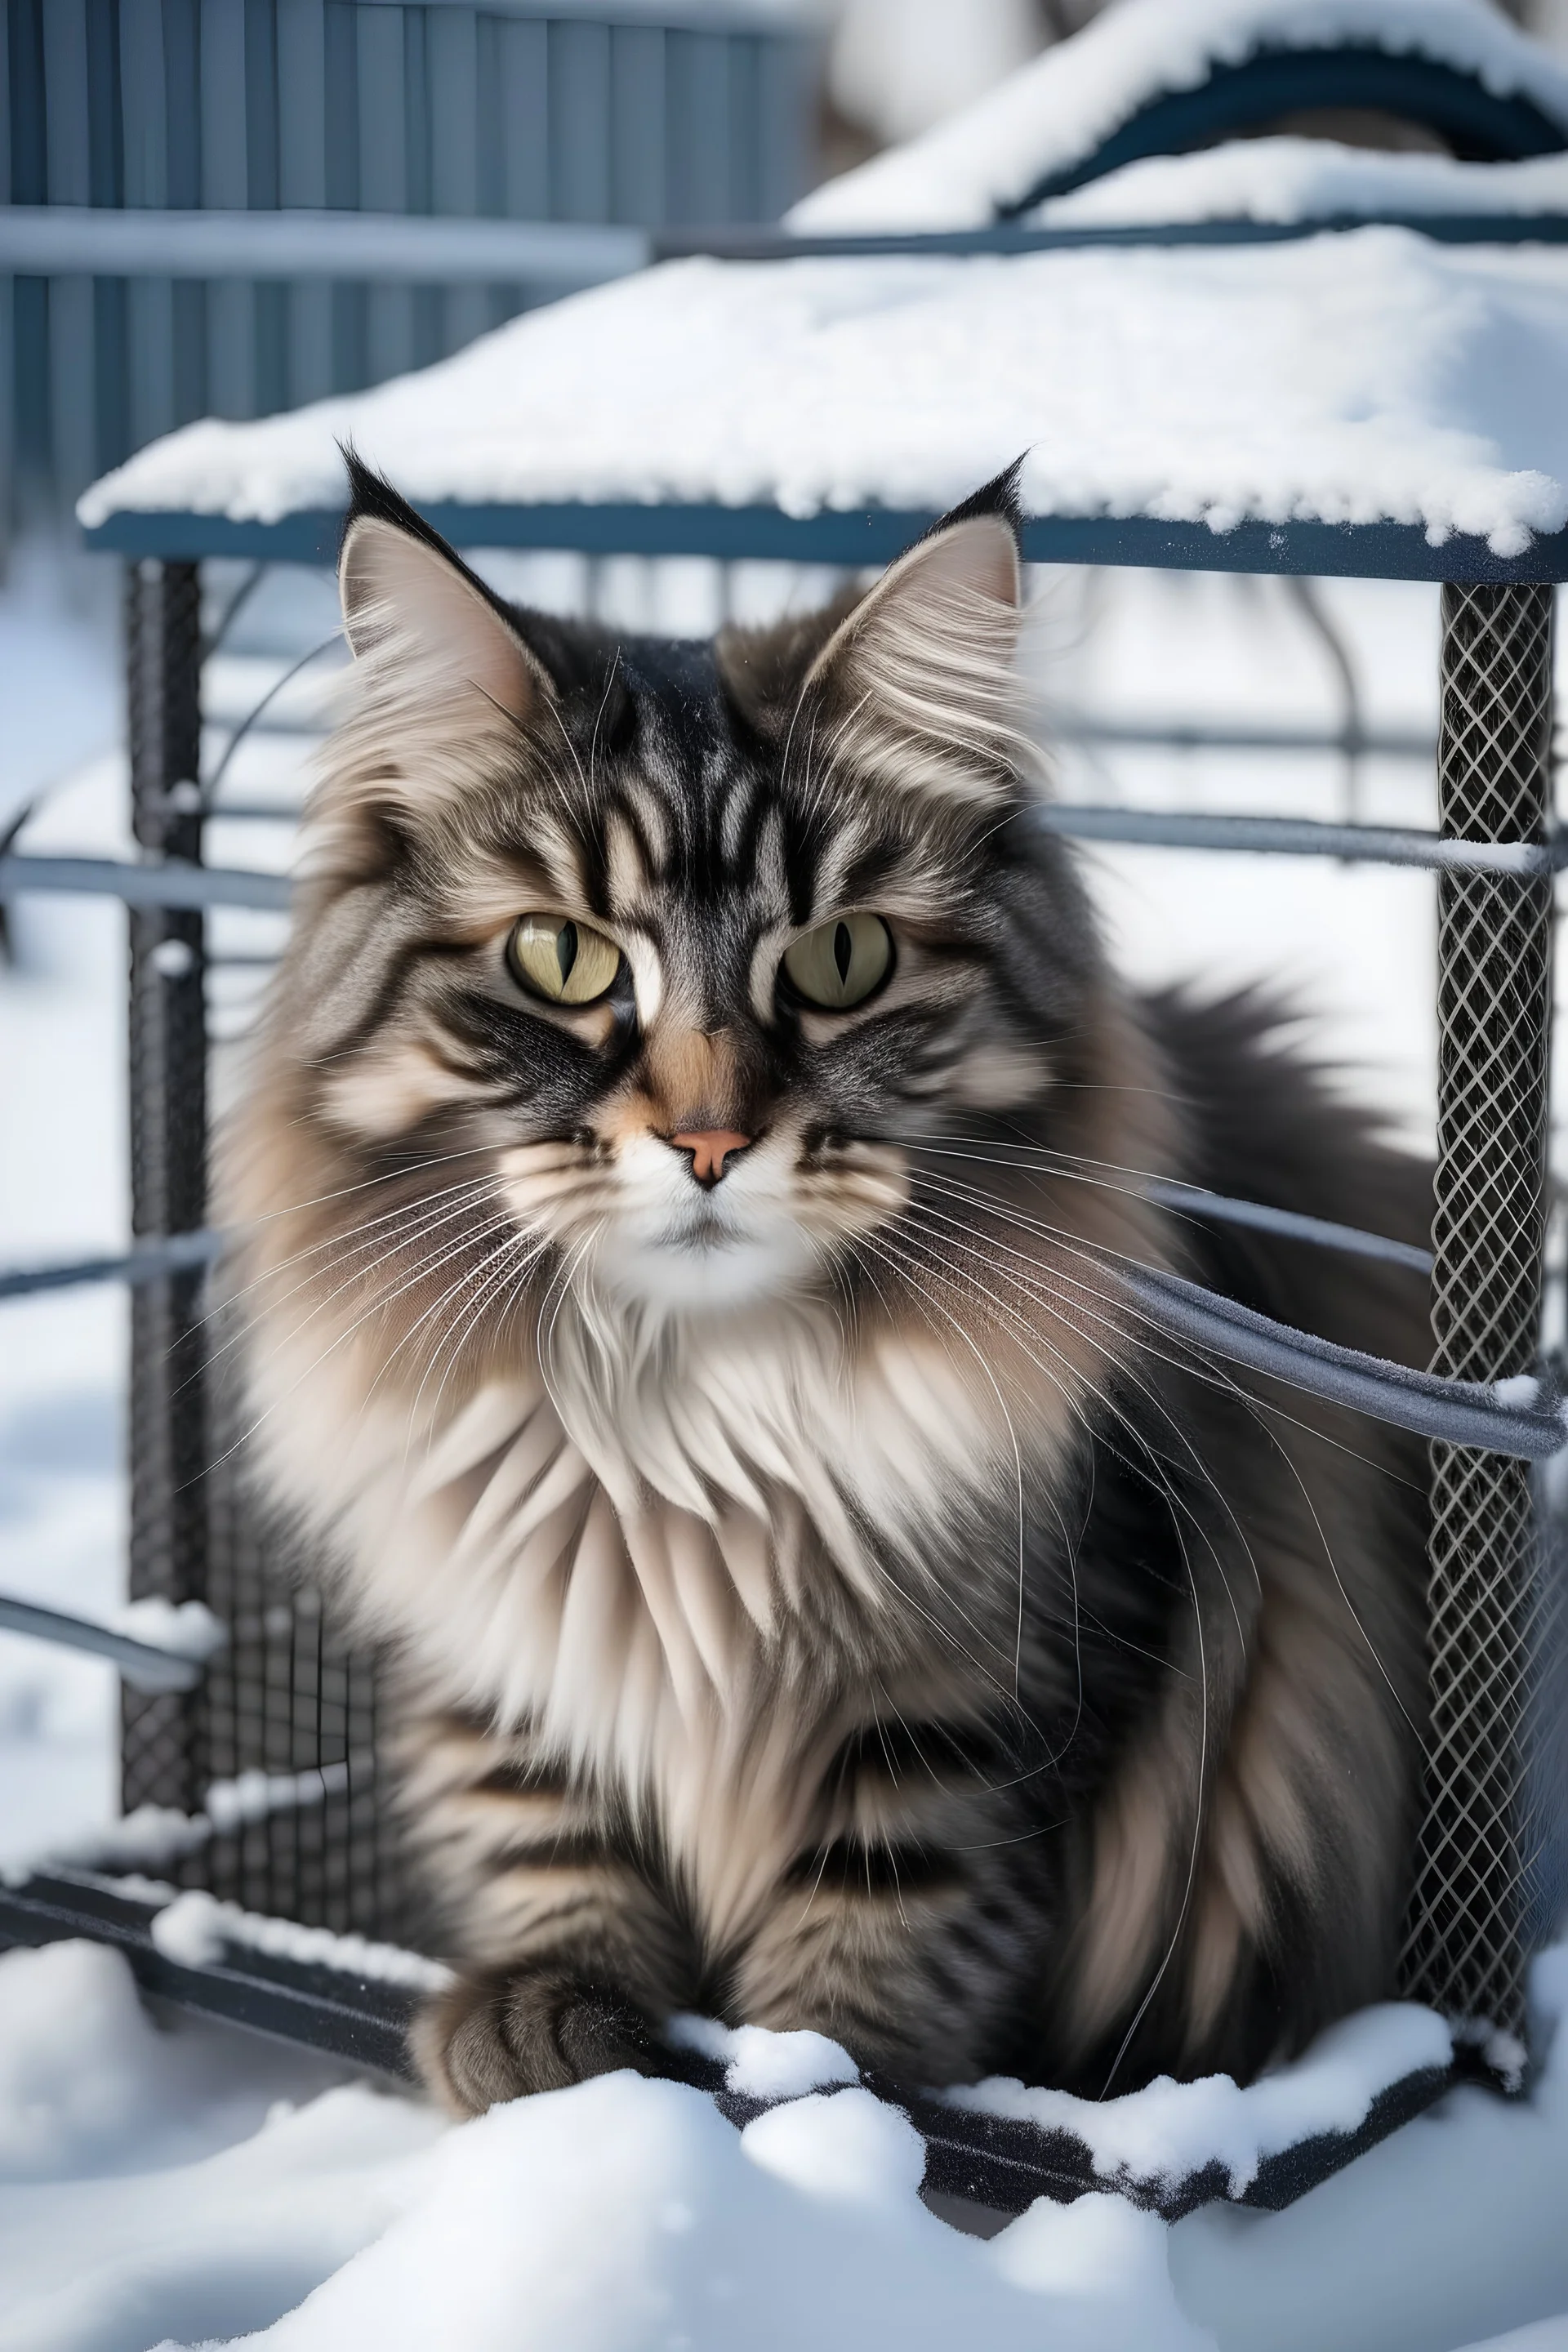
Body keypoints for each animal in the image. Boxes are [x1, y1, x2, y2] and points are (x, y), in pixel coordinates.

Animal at [220, 453, 1438, 2117]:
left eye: (843, 959)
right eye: (560, 959)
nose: (710, 1138)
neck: (683, 1409)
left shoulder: (1006, 1681)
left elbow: (881, 1925)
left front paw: (799, 2108)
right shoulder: (496, 1632)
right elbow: (542, 1829)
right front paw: (552, 2041)